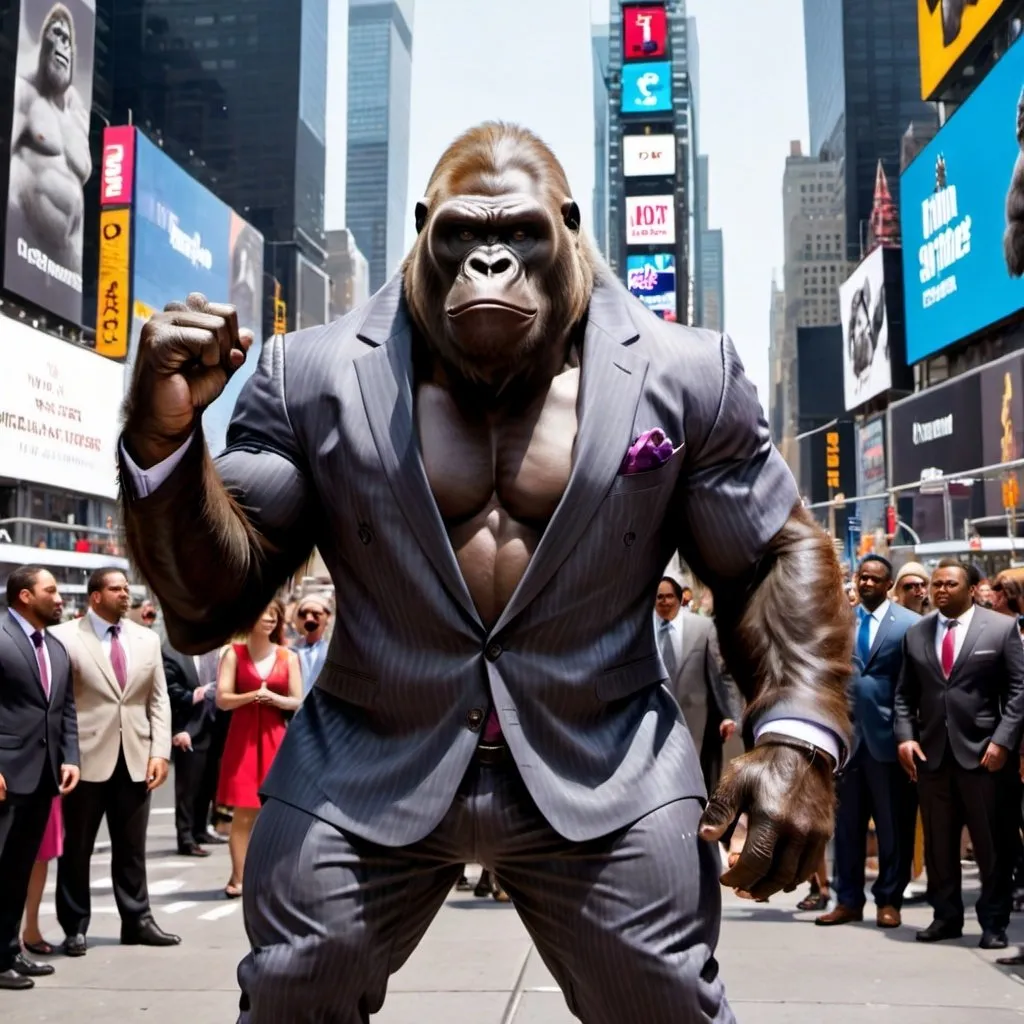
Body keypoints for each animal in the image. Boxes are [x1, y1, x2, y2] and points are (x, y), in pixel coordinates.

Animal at [119, 121, 851, 1024]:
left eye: (523, 233)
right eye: (463, 231)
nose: (492, 263)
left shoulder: (718, 404)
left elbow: (761, 556)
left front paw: (782, 781)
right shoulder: (277, 405)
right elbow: (236, 578)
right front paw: (170, 390)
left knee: (651, 970)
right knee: (307, 964)